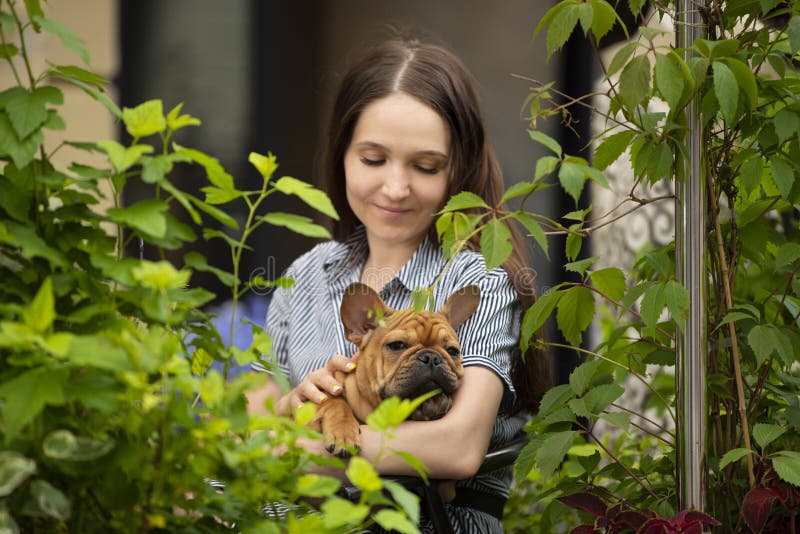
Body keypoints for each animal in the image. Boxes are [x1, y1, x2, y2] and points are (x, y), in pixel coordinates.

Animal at [314, 282, 478, 458]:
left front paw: (433, 404)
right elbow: (335, 402)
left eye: (453, 351)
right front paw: (343, 434)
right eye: (397, 345)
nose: (431, 358)